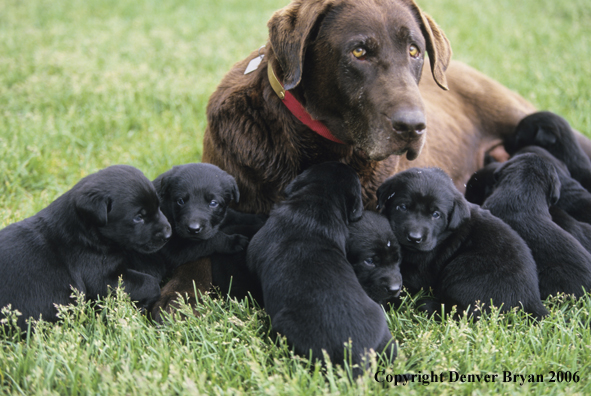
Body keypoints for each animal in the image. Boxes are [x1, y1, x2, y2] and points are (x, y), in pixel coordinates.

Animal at [0, 166, 171, 330]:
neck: (85, 231)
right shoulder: (100, 276)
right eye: (138, 217)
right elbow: (150, 283)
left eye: (158, 206)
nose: (168, 234)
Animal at [376, 167, 548, 318]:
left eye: (436, 214)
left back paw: (426, 305)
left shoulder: (419, 270)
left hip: (464, 271)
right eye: (403, 207)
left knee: (464, 313)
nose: (414, 237)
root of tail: (532, 300)